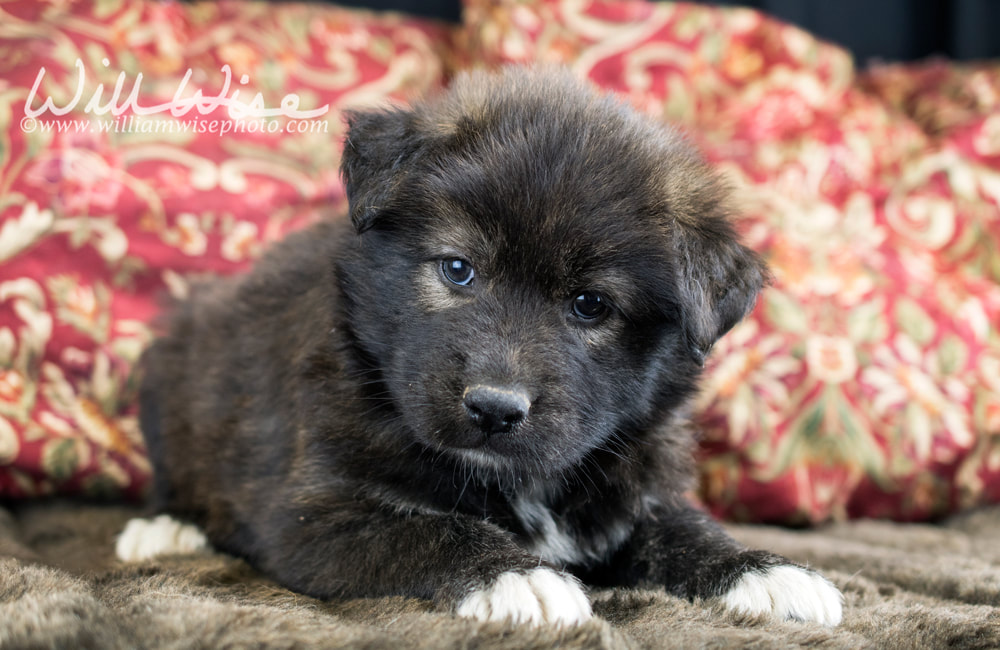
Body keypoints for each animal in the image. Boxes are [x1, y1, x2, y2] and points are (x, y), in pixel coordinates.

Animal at [117, 64, 844, 624]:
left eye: (591, 305)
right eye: (458, 268)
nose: (495, 408)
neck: (521, 481)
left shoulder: (635, 487)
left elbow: (683, 527)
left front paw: (763, 571)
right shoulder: (314, 510)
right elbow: (425, 527)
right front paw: (516, 576)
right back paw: (167, 527)